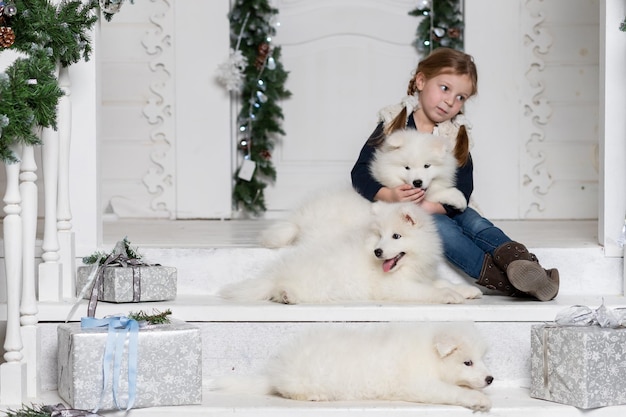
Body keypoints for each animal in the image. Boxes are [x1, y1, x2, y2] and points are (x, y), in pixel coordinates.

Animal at [210, 320, 492, 412]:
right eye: (467, 362)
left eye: (482, 358)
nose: (490, 379)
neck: (430, 355)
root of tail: (274, 372)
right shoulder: (420, 385)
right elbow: (452, 391)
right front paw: (478, 399)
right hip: (305, 377)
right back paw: (315, 396)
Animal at [219, 200, 478, 304]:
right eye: (379, 235)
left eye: (396, 236)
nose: (377, 251)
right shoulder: (397, 288)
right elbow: (430, 291)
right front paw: (450, 296)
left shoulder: (422, 276)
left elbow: (442, 282)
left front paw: (466, 290)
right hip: (317, 282)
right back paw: (286, 295)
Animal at [258, 128, 464, 249]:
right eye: (407, 168)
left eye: (427, 166)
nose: (417, 182)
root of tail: (298, 221)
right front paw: (459, 199)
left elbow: (436, 192)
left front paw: (458, 199)